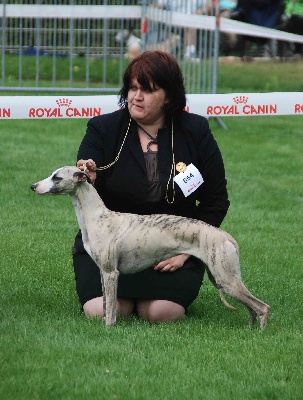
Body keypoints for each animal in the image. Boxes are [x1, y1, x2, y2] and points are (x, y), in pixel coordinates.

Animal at [32, 166, 272, 328]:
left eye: (56, 177)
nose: (32, 186)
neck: (97, 217)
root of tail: (226, 237)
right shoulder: (103, 272)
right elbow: (105, 304)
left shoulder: (111, 273)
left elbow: (111, 308)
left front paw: (108, 328)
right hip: (221, 277)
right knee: (252, 308)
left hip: (226, 278)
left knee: (262, 307)